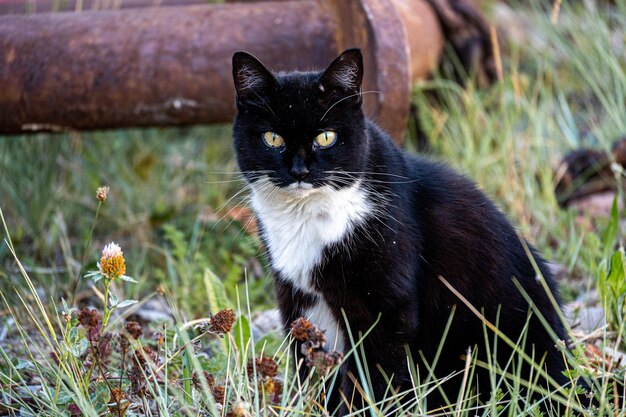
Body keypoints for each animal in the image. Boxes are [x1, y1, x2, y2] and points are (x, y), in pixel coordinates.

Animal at [230, 48, 572, 412]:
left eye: (326, 137)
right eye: (272, 138)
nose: (299, 171)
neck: (307, 216)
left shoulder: (385, 309)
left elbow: (375, 377)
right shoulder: (298, 300)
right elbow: (312, 369)